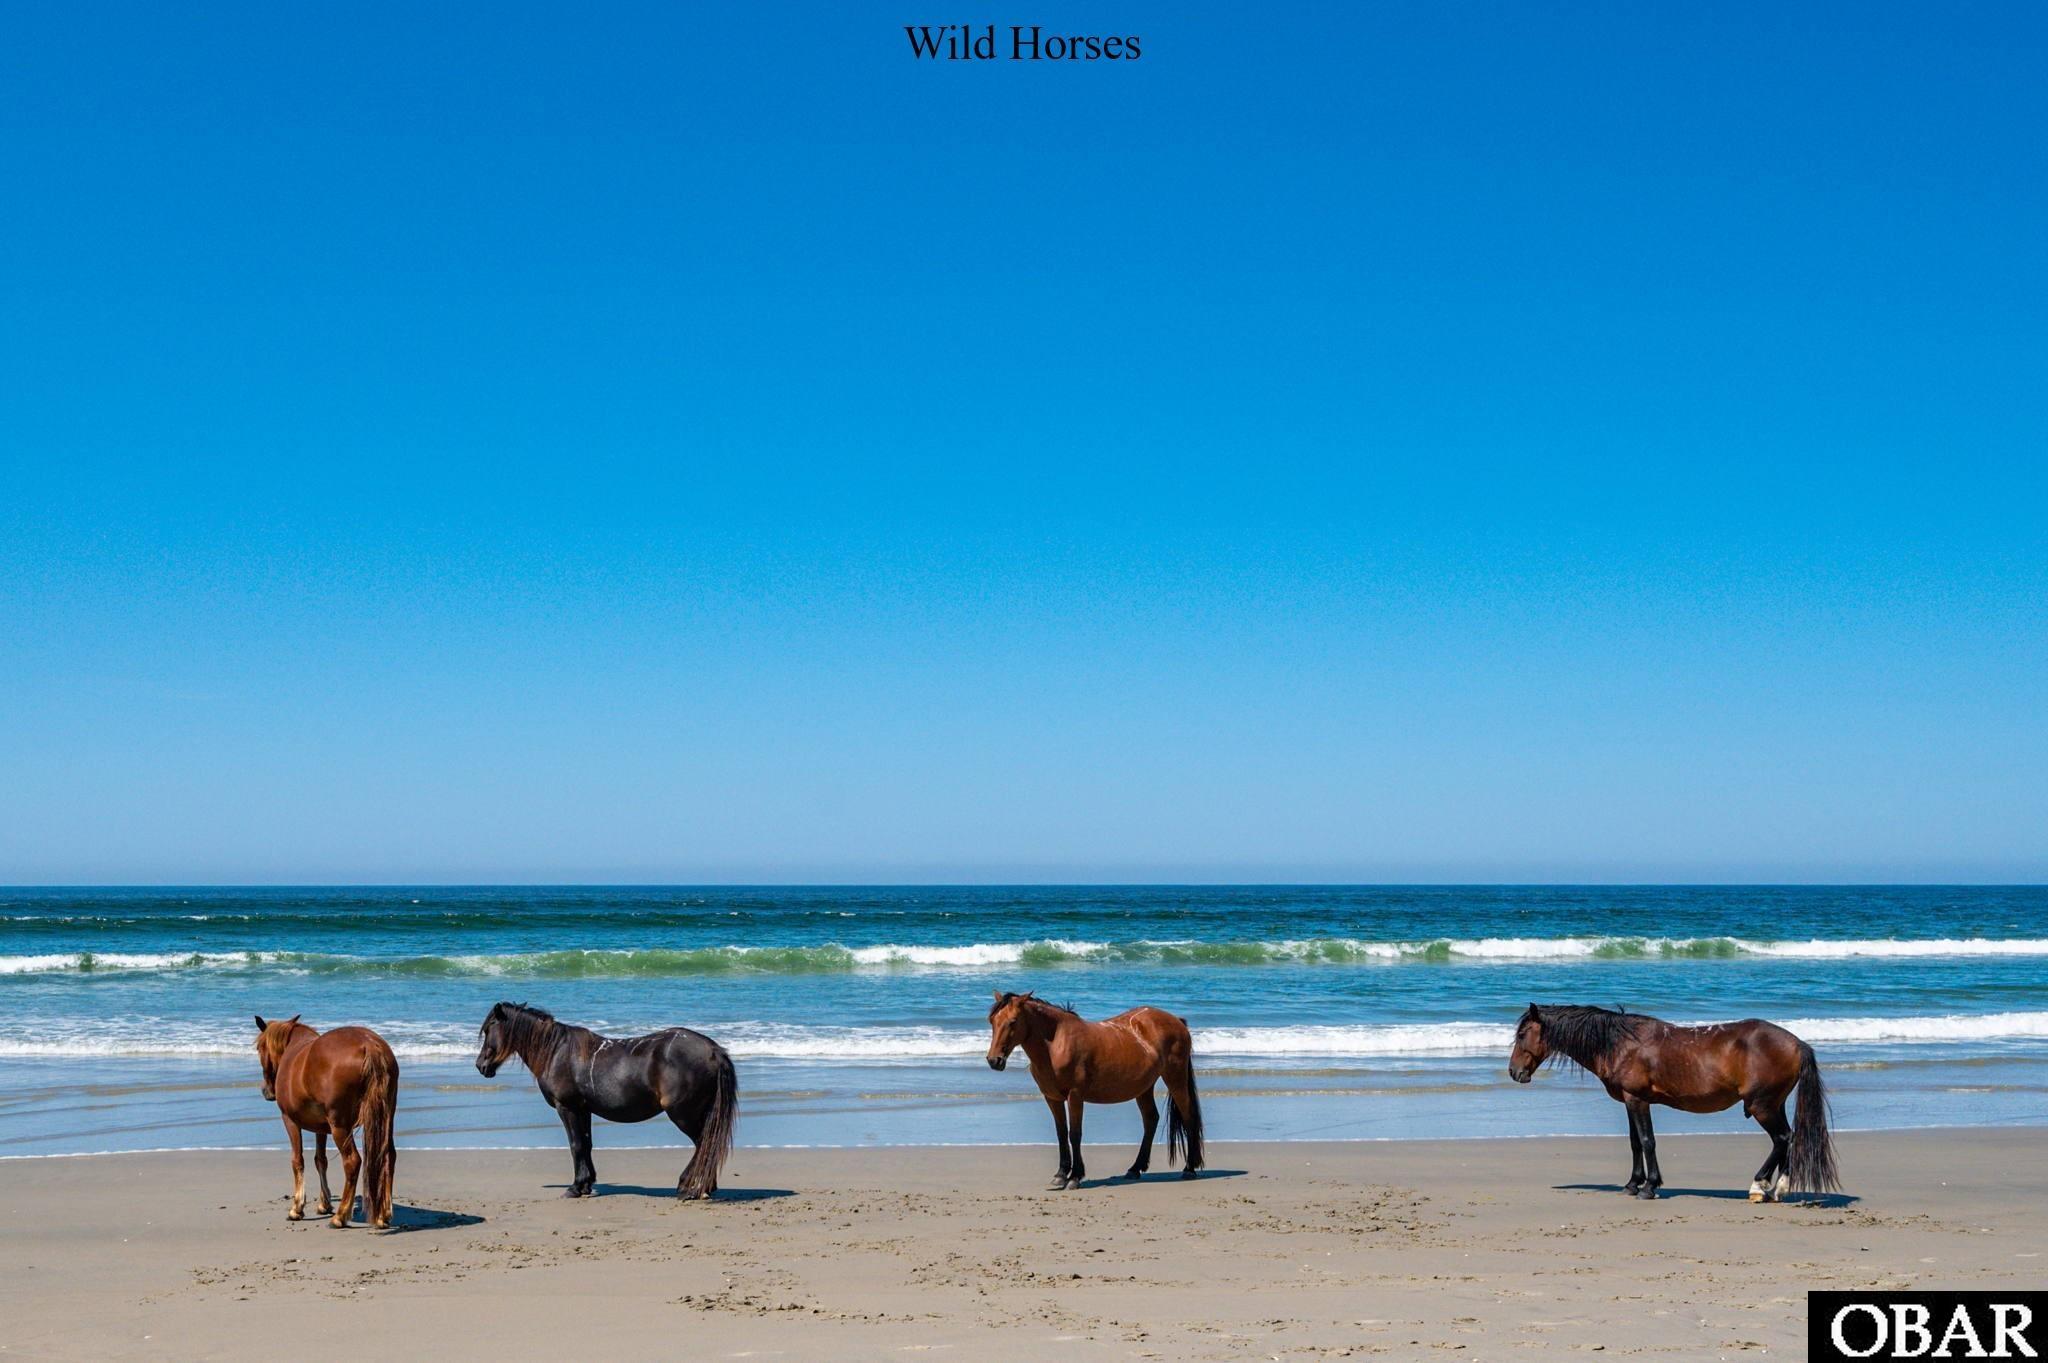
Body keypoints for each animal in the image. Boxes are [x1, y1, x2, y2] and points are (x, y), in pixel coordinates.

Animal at [252, 1015, 399, 1229]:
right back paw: (383, 1215)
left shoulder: (290, 1120)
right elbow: (320, 1160)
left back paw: (340, 1216)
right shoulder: (320, 1128)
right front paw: (324, 1203)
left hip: (340, 1127)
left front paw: (297, 1208)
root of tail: (369, 1045)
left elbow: (297, 1160)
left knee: (352, 1161)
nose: (267, 1091)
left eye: (259, 1048)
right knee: (388, 1156)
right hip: (386, 1119)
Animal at [474, 1002, 737, 1199]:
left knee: (704, 1143)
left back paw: (691, 1187)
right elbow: (586, 1144)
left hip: (684, 1114)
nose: (480, 1066)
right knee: (708, 1144)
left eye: (489, 1029)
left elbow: (576, 1145)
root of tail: (714, 1051)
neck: (555, 1052)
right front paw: (586, 1185)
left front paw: (575, 1188)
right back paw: (704, 1187)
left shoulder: (567, 1108)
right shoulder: (584, 1109)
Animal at [985, 990, 1205, 1190]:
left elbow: (1074, 1134)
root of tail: (1176, 1021)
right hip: (1144, 1088)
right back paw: (1134, 1169)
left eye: (1013, 1021)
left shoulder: (1075, 1096)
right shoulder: (1052, 1098)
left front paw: (1075, 1177)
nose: (994, 1060)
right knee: (1151, 1120)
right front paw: (1060, 1175)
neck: (1056, 1044)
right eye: (992, 1021)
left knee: (1188, 1117)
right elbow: (1061, 1134)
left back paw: (1189, 1169)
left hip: (1175, 1079)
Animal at [1507, 1003, 1839, 1202]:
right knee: (1787, 1138)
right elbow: (1635, 1143)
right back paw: (1778, 1188)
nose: (1514, 1072)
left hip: (1762, 1106)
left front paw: (1649, 1186)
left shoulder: (1637, 1100)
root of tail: (1797, 1043)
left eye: (1523, 1034)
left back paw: (1760, 1186)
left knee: (1782, 1137)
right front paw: (1633, 1184)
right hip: (1773, 1104)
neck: (1620, 1044)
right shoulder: (1630, 1101)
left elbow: (1647, 1141)